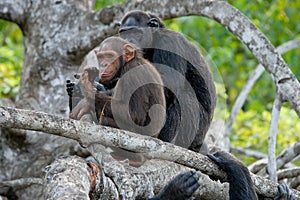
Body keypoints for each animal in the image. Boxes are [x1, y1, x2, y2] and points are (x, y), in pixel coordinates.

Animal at [118, 10, 217, 153]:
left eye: (136, 32)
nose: (128, 41)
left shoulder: (170, 44)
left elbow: (168, 84)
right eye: (124, 33)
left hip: (196, 132)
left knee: (181, 98)